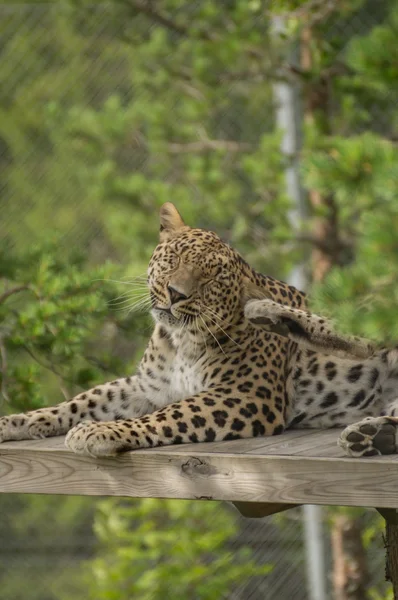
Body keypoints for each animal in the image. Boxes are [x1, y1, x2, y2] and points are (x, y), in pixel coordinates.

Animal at [2, 203, 398, 460]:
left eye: (211, 278)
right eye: (175, 258)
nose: (176, 293)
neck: (179, 341)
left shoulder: (246, 395)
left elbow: (167, 415)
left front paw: (98, 432)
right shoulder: (146, 386)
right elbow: (82, 401)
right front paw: (15, 422)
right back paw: (371, 434)